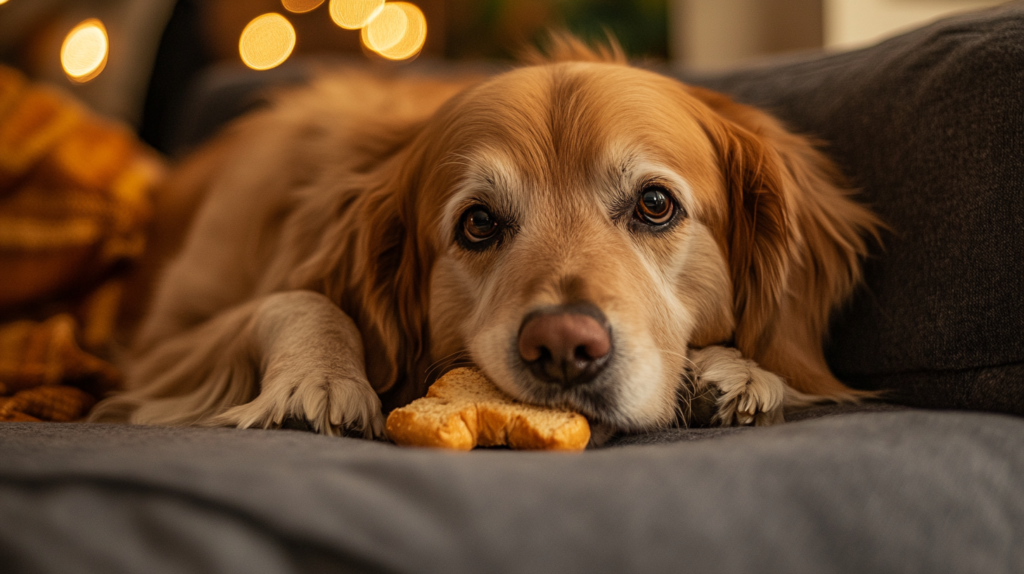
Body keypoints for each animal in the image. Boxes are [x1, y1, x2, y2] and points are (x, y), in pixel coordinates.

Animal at [90, 35, 880, 439]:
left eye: (655, 205)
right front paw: (321, 378)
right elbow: (297, 299)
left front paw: (741, 373)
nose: (563, 348)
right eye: (478, 223)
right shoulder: (160, 350)